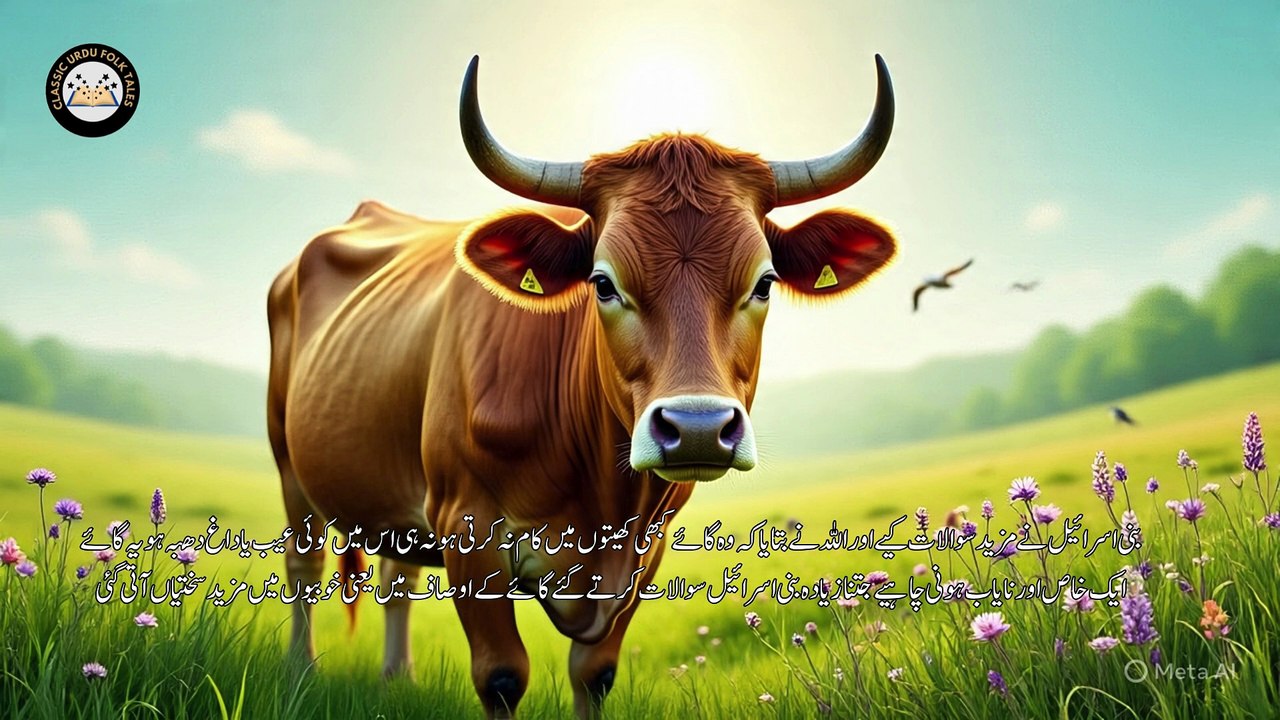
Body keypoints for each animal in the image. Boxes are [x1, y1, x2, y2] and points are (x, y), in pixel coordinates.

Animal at [267, 54, 898, 719]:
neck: (598, 494)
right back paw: (300, 672)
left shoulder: (645, 550)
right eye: (602, 282)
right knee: (304, 567)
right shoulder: (465, 524)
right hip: (290, 466)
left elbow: (593, 672)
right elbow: (502, 675)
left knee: (396, 579)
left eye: (765, 282)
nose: (698, 430)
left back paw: (397, 679)